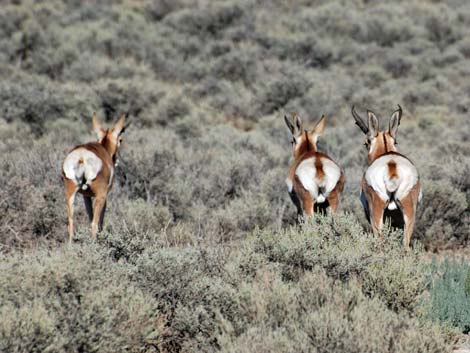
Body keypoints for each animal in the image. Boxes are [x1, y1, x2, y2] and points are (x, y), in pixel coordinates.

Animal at [62, 113, 129, 242]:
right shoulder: (104, 197)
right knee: (94, 223)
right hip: (100, 197)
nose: (116, 160)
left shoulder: (86, 197)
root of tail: (81, 157)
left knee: (71, 223)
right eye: (121, 140)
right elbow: (99, 221)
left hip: (70, 194)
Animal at [352, 104, 422, 248]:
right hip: (408, 214)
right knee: (405, 245)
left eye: (366, 143)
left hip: (377, 214)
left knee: (381, 240)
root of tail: (392, 165)